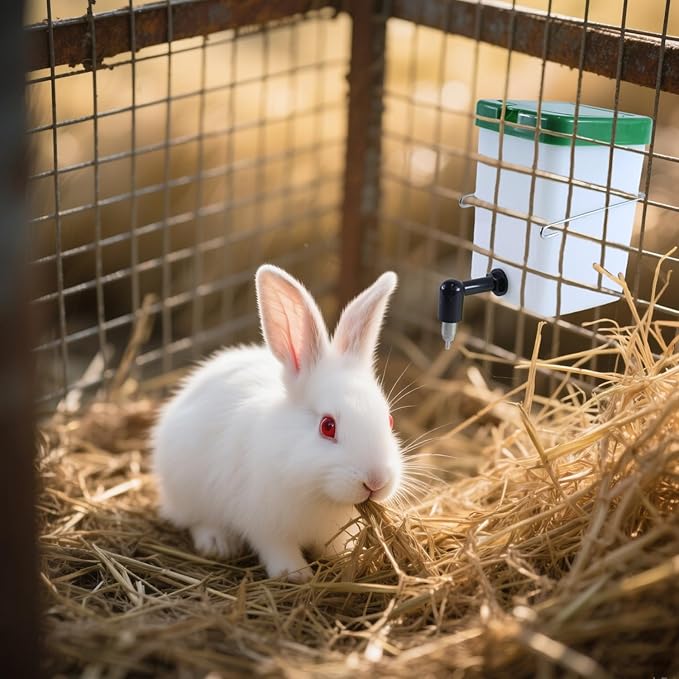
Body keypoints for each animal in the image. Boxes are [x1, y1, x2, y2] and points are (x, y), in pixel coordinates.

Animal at [151, 264, 403, 582]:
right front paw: (296, 575)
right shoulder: (264, 523)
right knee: (195, 519)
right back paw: (217, 543)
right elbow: (277, 548)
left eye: (390, 420)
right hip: (187, 488)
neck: (317, 491)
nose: (376, 481)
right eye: (327, 426)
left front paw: (346, 559)